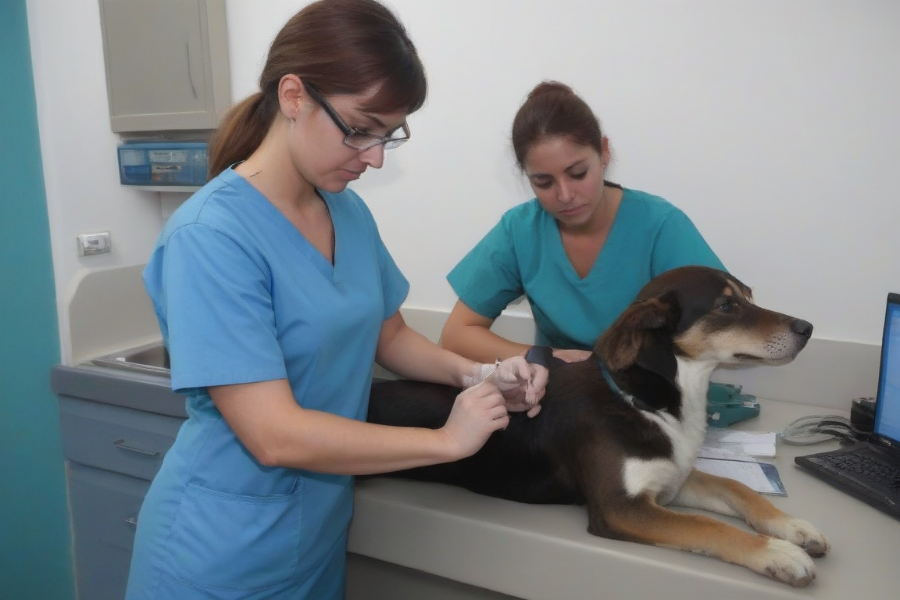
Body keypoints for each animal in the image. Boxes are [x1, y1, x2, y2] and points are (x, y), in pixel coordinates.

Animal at [366, 266, 828, 584]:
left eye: (749, 296)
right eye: (726, 305)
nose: (807, 328)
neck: (648, 402)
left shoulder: (671, 480)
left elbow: (738, 487)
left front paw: (794, 527)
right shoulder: (620, 506)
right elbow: (708, 525)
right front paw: (778, 553)